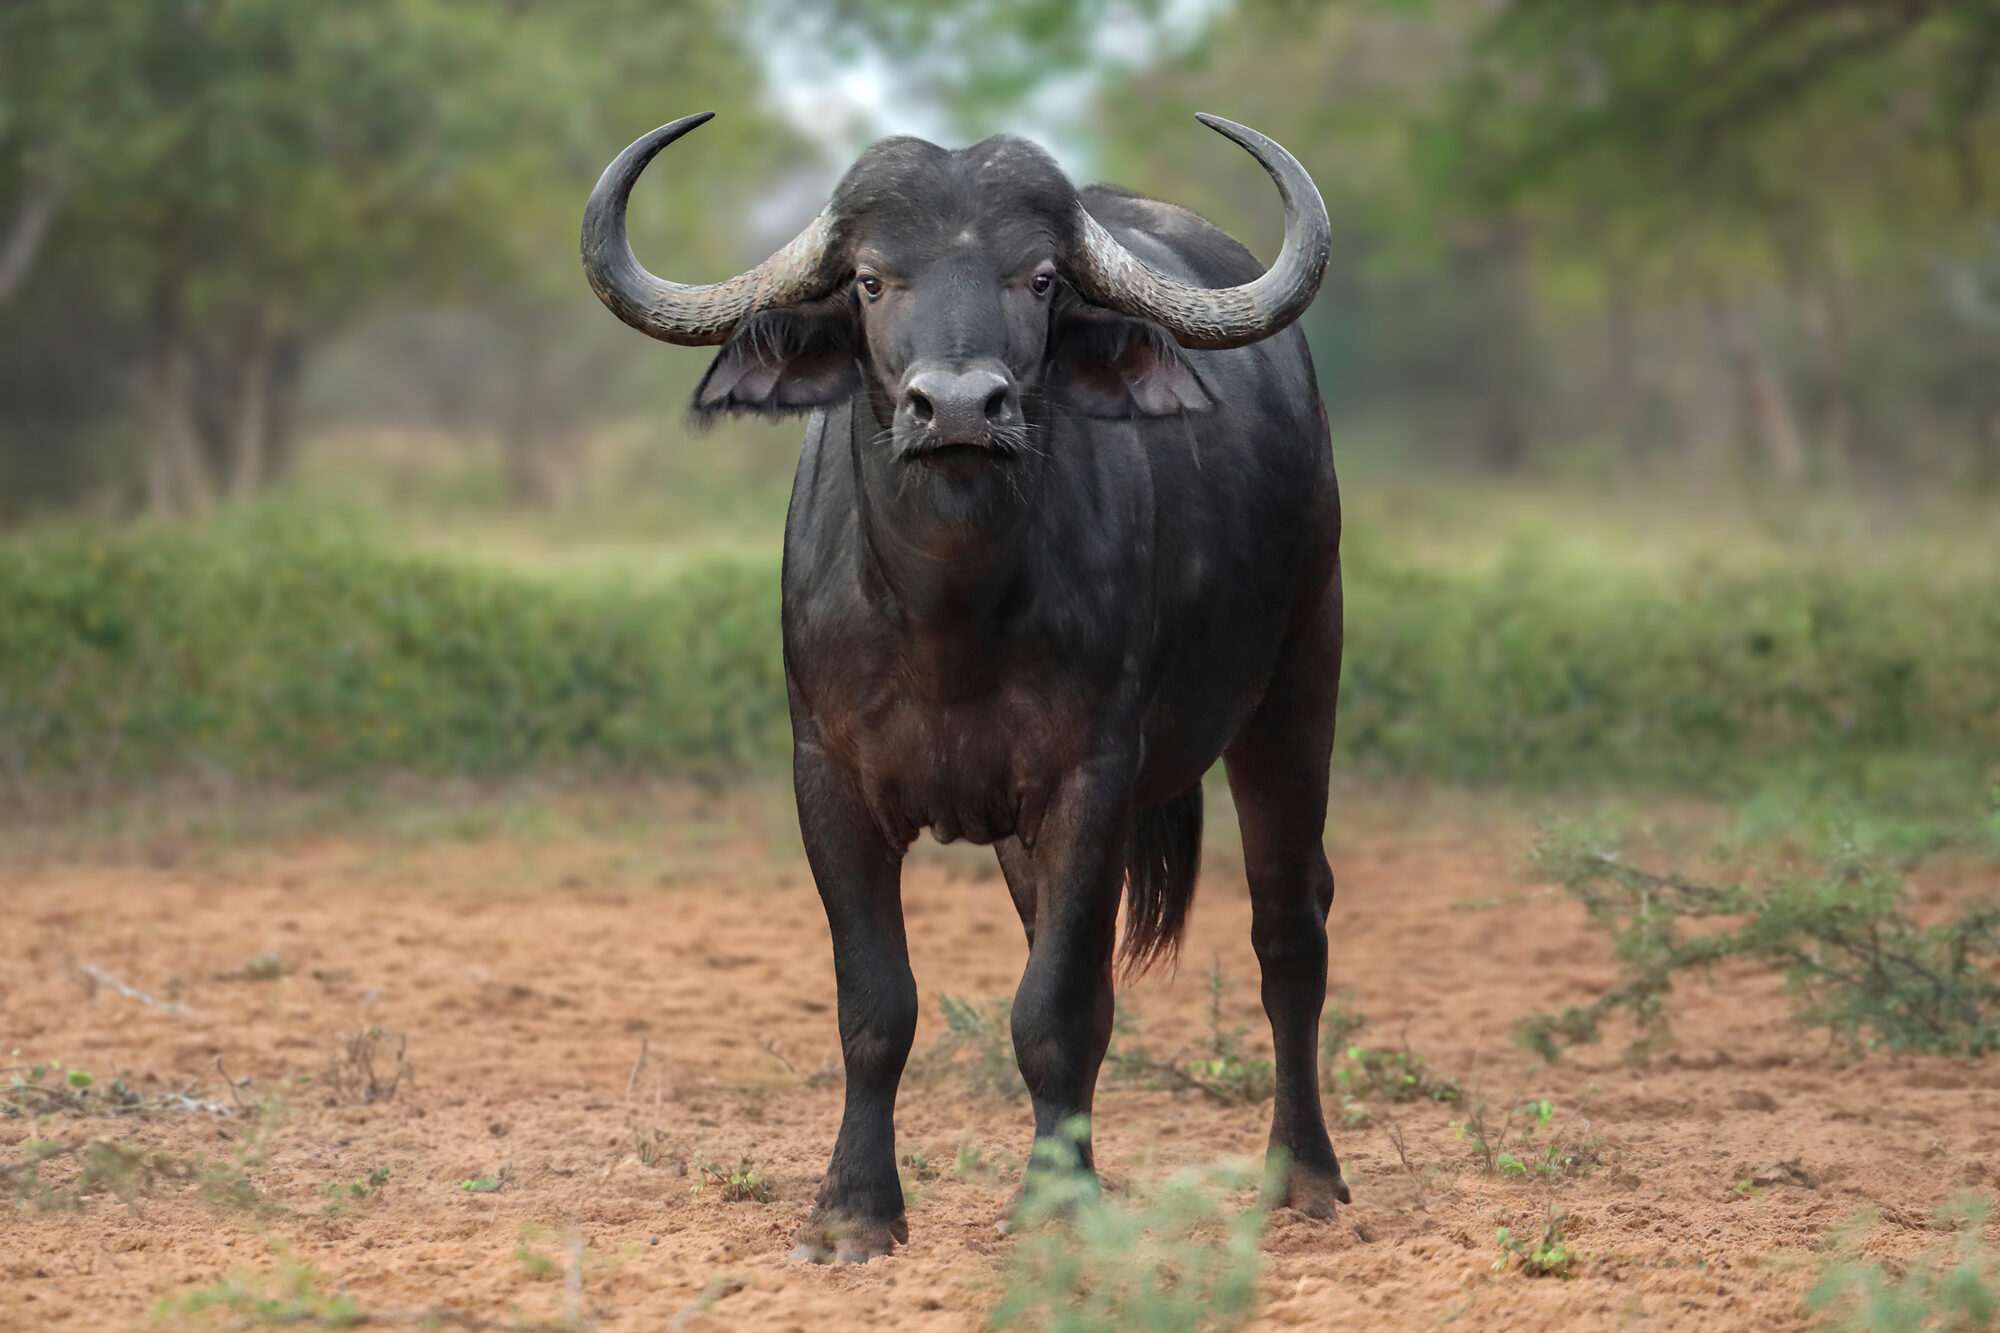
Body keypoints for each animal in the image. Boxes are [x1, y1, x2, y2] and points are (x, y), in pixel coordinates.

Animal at [581, 111, 1345, 1264]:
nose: (955, 408)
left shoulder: (1090, 781)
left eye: (1038, 277)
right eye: (868, 279)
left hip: (1299, 681)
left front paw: (1056, 1208)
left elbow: (1054, 1011)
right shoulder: (827, 780)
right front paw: (853, 1209)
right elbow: (879, 1005)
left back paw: (1302, 1176)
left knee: (1287, 926)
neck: (949, 613)